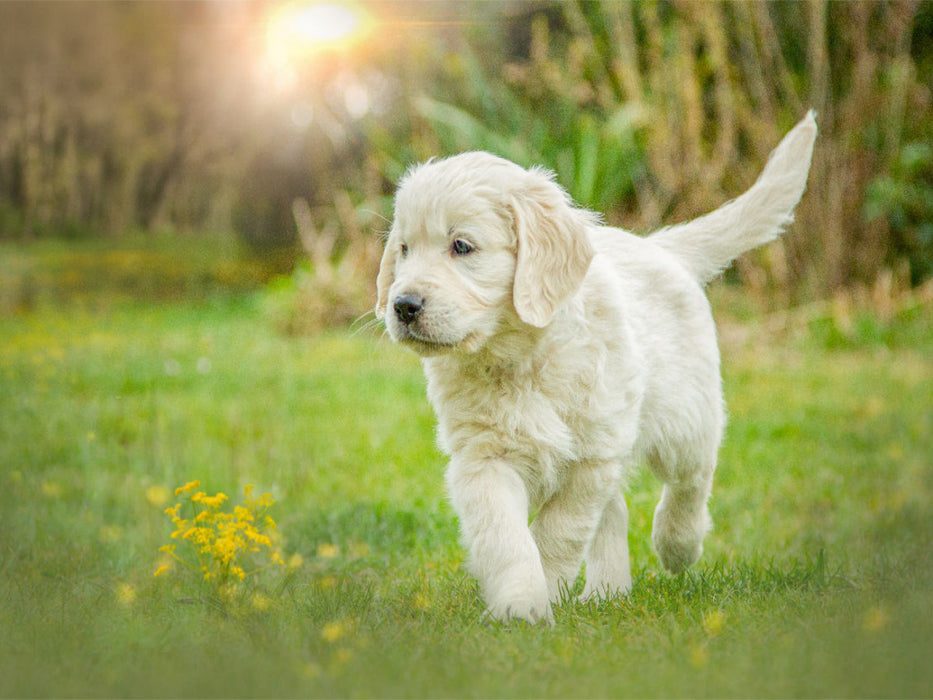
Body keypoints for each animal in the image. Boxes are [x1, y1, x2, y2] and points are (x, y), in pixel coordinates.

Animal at [374, 110, 812, 624]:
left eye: (461, 247)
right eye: (404, 249)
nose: (403, 305)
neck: (520, 359)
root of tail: (661, 248)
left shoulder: (592, 455)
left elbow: (558, 531)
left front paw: (546, 589)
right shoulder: (484, 457)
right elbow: (507, 537)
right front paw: (520, 605)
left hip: (686, 417)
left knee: (692, 480)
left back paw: (677, 546)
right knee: (617, 509)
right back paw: (607, 592)